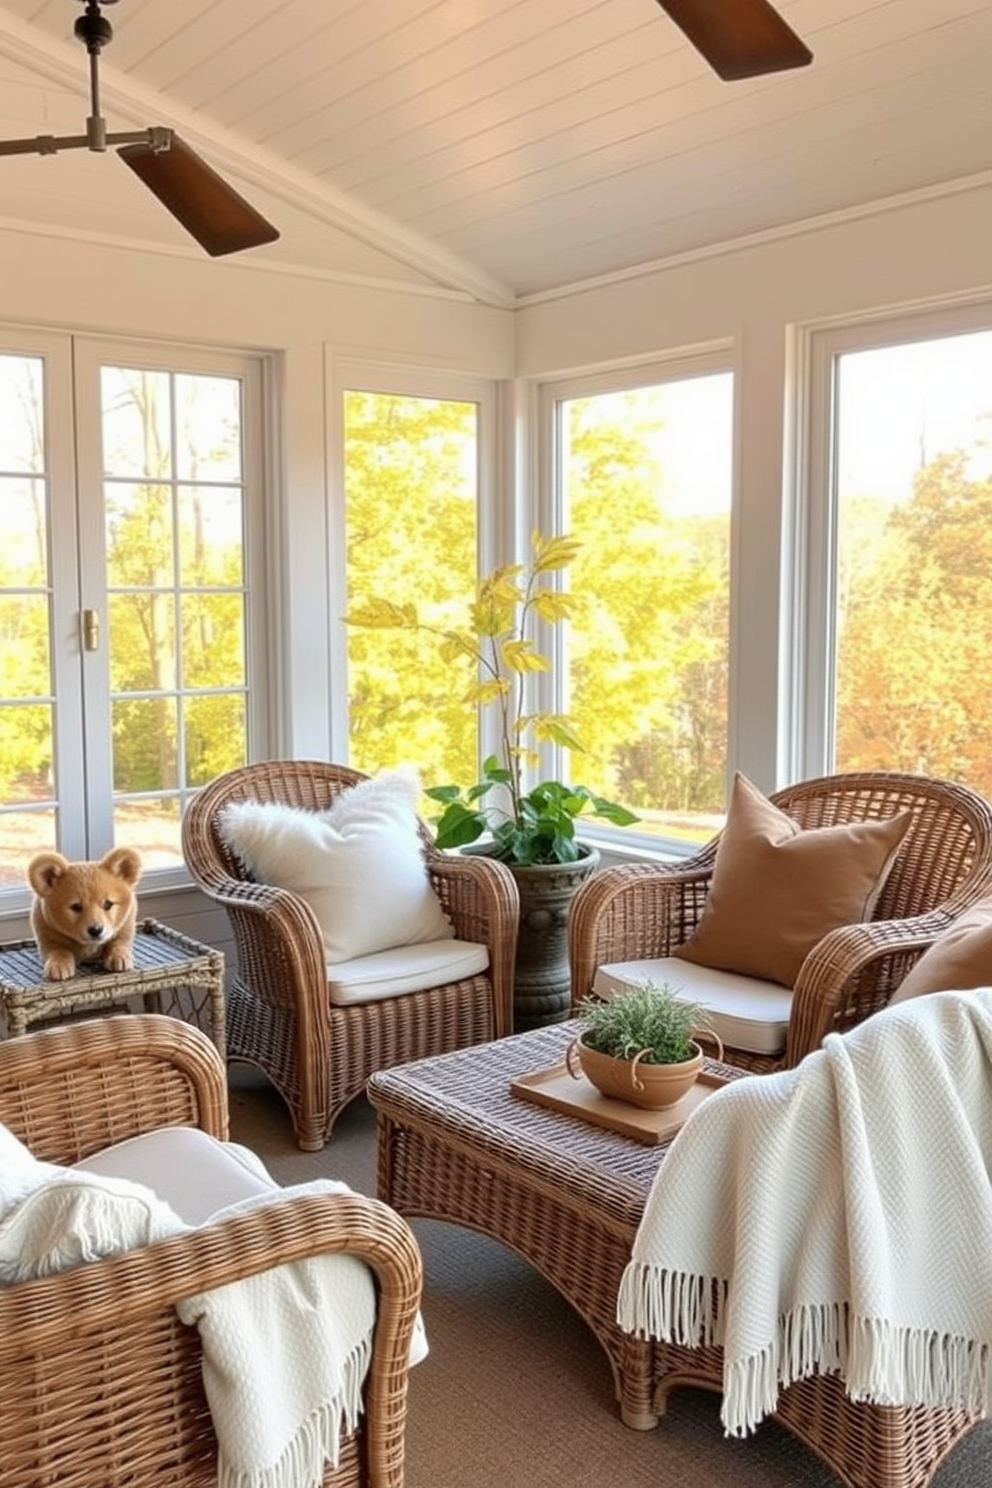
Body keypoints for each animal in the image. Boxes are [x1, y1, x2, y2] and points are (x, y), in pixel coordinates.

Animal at [28, 845, 143, 982]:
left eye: (108, 904)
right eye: (76, 907)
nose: (96, 930)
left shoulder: (125, 927)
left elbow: (118, 943)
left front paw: (120, 956)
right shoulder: (47, 937)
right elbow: (59, 951)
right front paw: (58, 964)